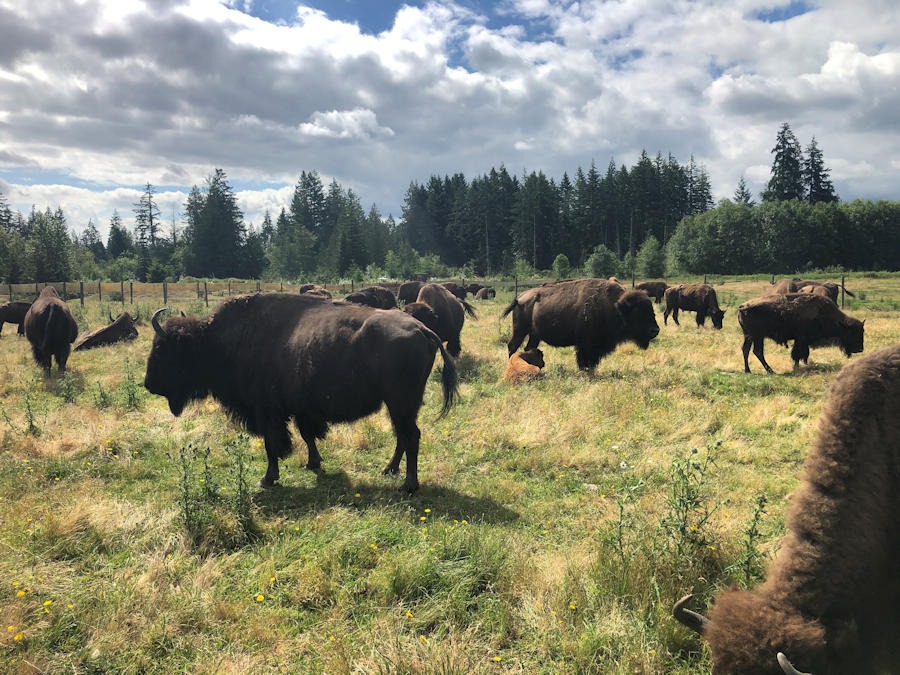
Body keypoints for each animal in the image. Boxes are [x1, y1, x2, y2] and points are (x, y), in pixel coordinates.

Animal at [144, 294, 458, 493]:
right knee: (403, 436)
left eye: (161, 349)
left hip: (400, 402)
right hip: (398, 405)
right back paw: (388, 471)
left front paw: (266, 480)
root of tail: (423, 329)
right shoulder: (299, 410)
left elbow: (272, 445)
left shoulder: (266, 412)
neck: (217, 341)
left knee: (411, 436)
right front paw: (312, 464)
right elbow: (307, 436)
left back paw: (409, 485)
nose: (148, 384)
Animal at [502, 278, 659, 371]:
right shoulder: (586, 345)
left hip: (534, 334)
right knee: (512, 346)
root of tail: (519, 297)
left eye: (651, 310)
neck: (615, 306)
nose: (655, 330)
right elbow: (584, 360)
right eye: (638, 313)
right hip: (520, 330)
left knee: (529, 347)